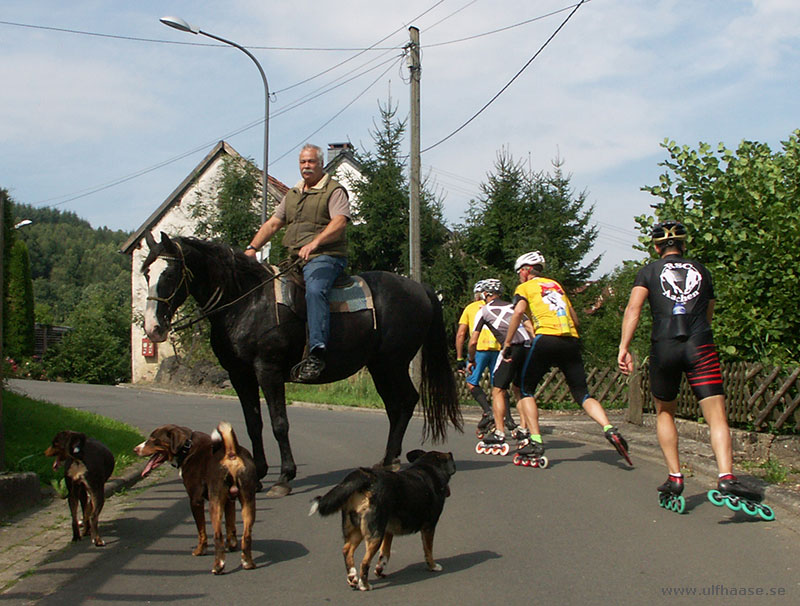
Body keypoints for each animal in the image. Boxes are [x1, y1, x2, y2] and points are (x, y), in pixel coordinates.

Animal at [134, 422, 258, 576]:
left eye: (153, 439)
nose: (135, 449)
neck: (188, 448)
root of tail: (231, 454)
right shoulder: (229, 501)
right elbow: (231, 527)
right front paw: (232, 545)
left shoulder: (195, 500)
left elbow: (201, 531)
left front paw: (200, 550)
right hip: (248, 501)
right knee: (247, 535)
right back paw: (248, 562)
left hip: (215, 504)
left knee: (218, 536)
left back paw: (218, 566)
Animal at [141, 234, 460, 498]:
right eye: (146, 272)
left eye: (169, 273)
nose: (153, 329)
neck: (247, 302)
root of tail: (420, 288)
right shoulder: (240, 375)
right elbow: (253, 423)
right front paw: (257, 475)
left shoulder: (267, 370)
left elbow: (279, 424)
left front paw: (284, 477)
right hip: (381, 367)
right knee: (397, 406)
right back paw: (388, 460)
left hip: (392, 363)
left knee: (406, 402)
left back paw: (391, 462)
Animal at [308, 448, 456, 592]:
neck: (427, 469)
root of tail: (368, 478)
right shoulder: (429, 527)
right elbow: (428, 550)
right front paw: (433, 566)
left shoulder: (388, 531)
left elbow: (385, 553)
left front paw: (380, 569)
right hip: (375, 534)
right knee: (364, 562)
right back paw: (364, 585)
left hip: (357, 530)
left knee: (347, 550)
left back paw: (352, 577)